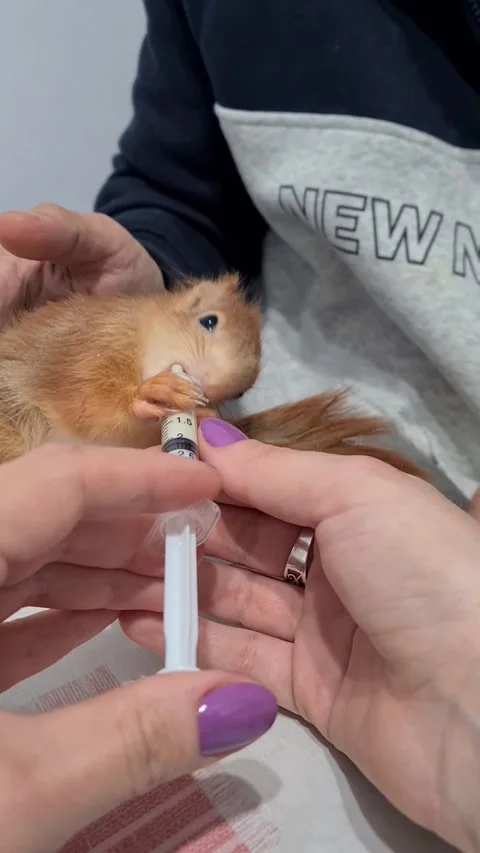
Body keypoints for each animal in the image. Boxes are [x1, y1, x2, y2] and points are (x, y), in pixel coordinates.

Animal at [0, 271, 427, 478]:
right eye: (208, 320)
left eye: (244, 390)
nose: (215, 390)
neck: (140, 339)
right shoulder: (85, 349)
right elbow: (86, 403)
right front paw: (152, 391)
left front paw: (203, 414)